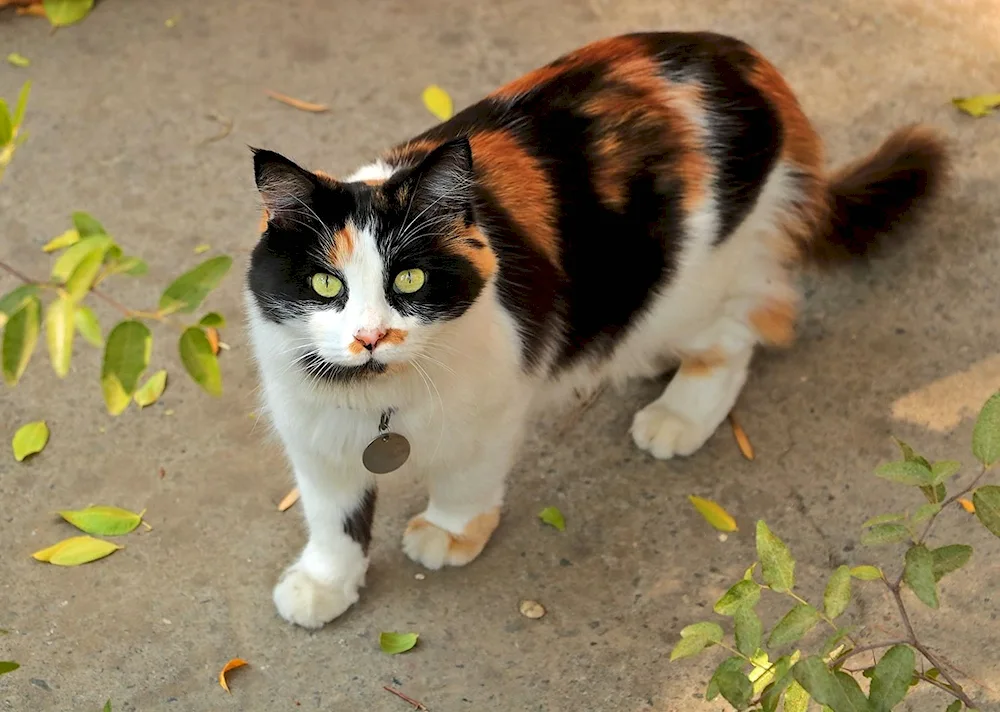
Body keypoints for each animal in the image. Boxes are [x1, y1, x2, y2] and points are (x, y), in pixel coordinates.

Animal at [244, 30, 944, 628]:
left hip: (693, 279)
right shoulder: (310, 430)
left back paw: (679, 415)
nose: (369, 338)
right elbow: (332, 516)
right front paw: (325, 585)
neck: (377, 398)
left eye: (410, 281)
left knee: (744, 330)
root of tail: (746, 63)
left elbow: (466, 479)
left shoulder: (493, 406)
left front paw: (449, 532)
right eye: (325, 285)